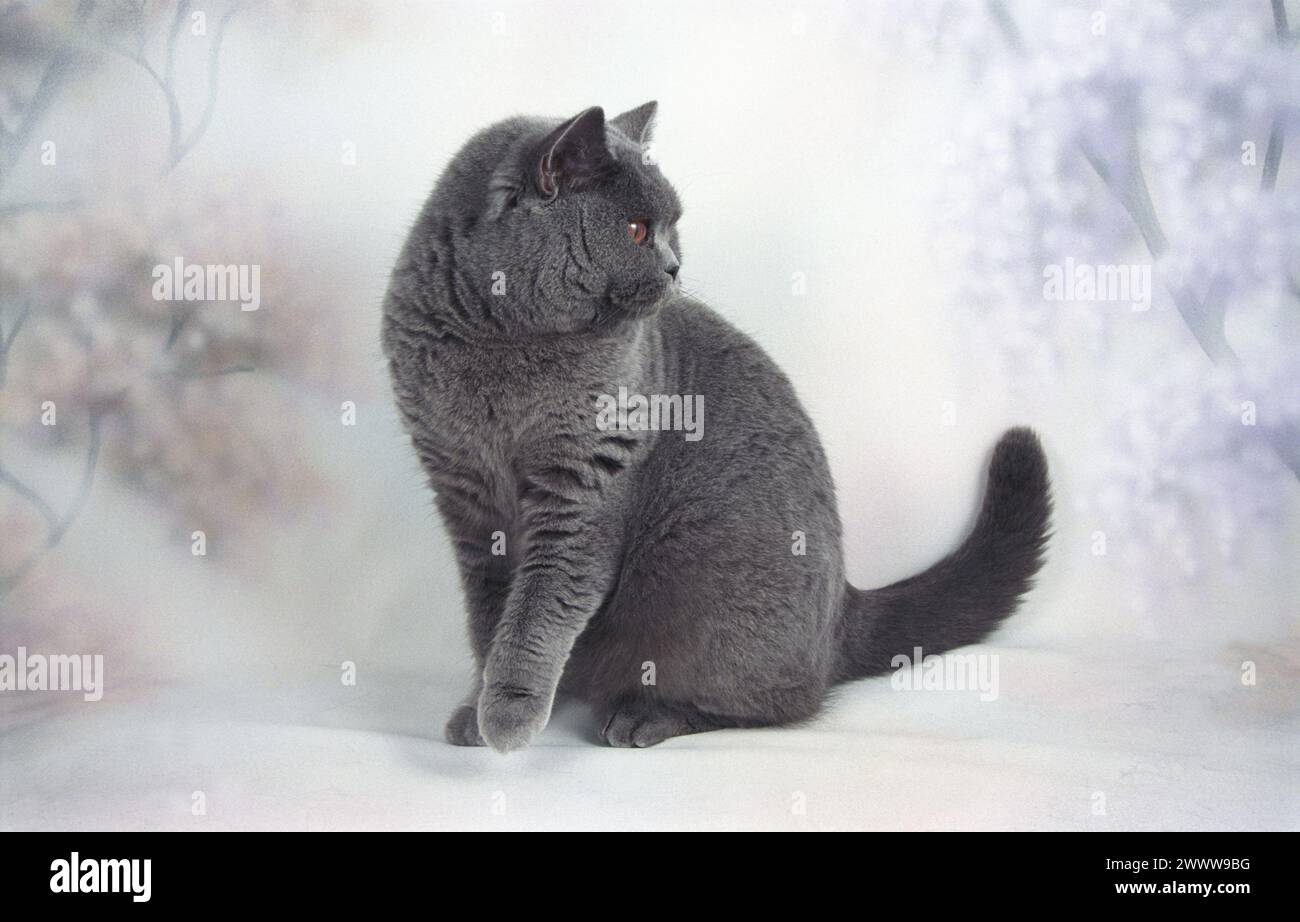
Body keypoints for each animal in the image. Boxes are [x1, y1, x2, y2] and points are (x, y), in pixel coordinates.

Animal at [379, 102, 1050, 749]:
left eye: (672, 226)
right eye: (637, 230)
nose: (675, 266)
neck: (502, 342)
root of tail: (845, 610)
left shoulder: (584, 483)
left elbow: (543, 602)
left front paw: (510, 714)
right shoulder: (463, 491)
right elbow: (490, 616)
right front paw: (476, 709)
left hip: (694, 585)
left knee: (779, 701)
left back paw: (645, 716)